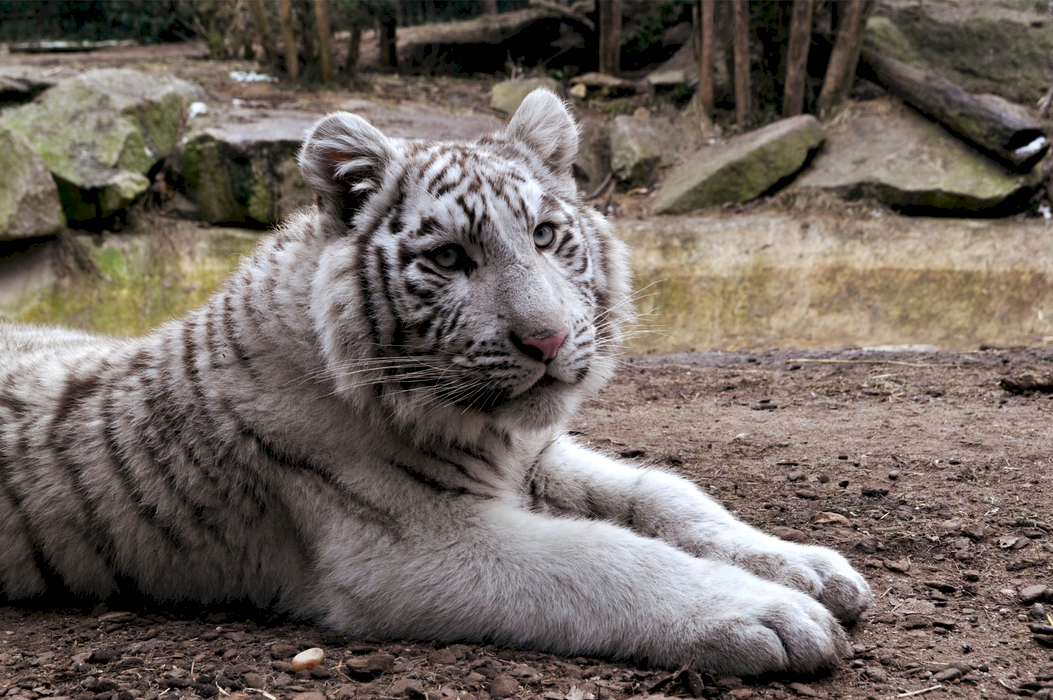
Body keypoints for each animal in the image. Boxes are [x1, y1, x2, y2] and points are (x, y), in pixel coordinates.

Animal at [0, 89, 871, 675]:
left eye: (546, 236)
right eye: (450, 258)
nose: (548, 338)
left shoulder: (537, 455)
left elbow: (663, 494)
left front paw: (806, 567)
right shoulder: (412, 548)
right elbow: (606, 556)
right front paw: (769, 613)